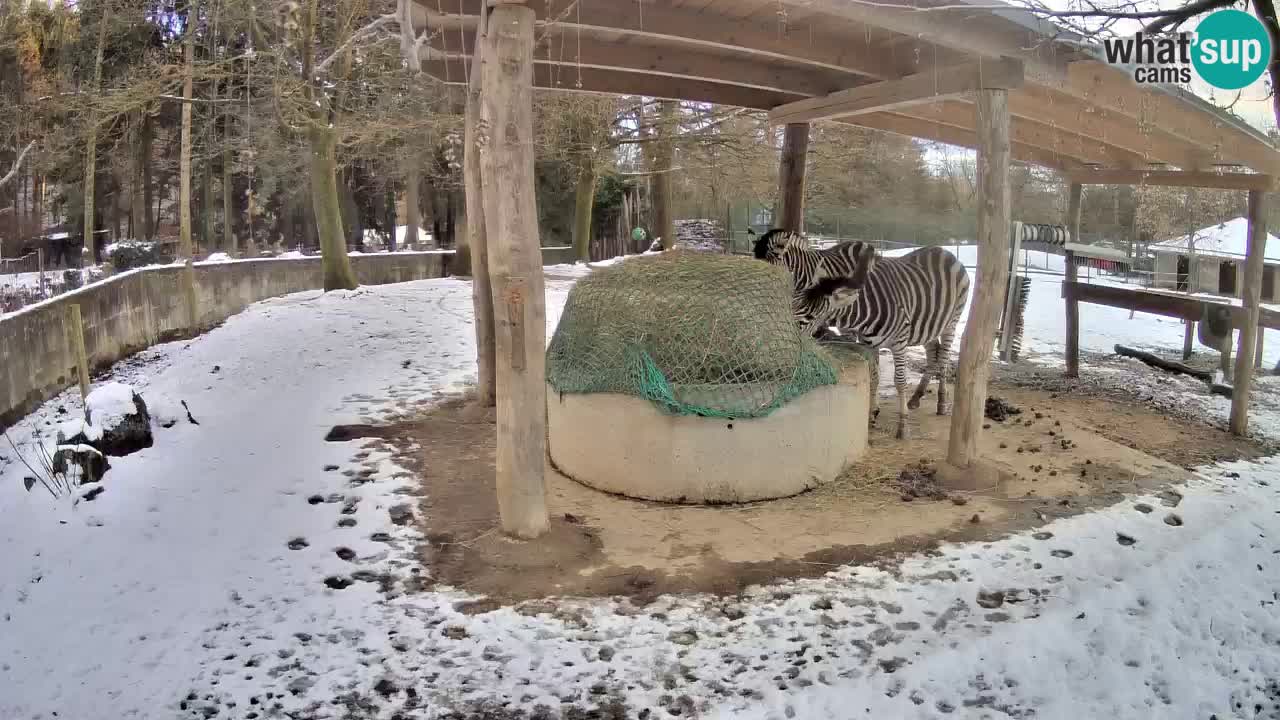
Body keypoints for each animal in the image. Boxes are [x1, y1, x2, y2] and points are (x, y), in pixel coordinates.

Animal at [757, 226, 967, 440]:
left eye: (810, 315)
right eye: (794, 305)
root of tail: (944, 251)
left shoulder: (899, 342)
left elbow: (900, 381)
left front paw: (903, 426)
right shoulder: (869, 343)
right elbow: (873, 376)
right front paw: (871, 415)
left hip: (952, 321)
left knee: (943, 358)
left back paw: (942, 403)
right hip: (928, 324)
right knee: (933, 353)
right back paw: (916, 397)